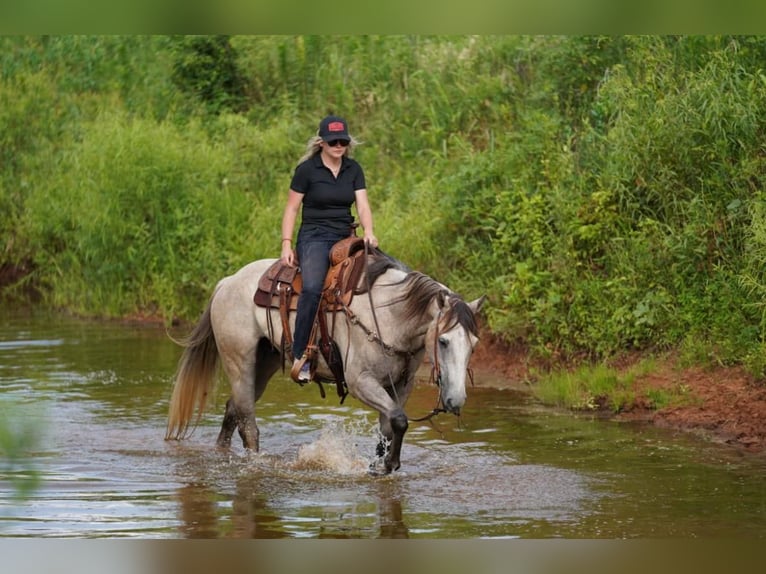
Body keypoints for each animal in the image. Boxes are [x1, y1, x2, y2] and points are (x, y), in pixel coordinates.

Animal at [167, 253, 486, 476]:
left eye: (473, 344)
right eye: (443, 341)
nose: (456, 400)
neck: (389, 315)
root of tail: (227, 283)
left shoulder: (400, 385)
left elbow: (388, 427)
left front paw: (379, 465)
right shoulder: (360, 382)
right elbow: (399, 420)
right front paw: (388, 465)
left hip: (264, 363)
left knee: (233, 410)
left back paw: (222, 453)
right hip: (239, 363)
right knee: (248, 423)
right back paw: (256, 464)